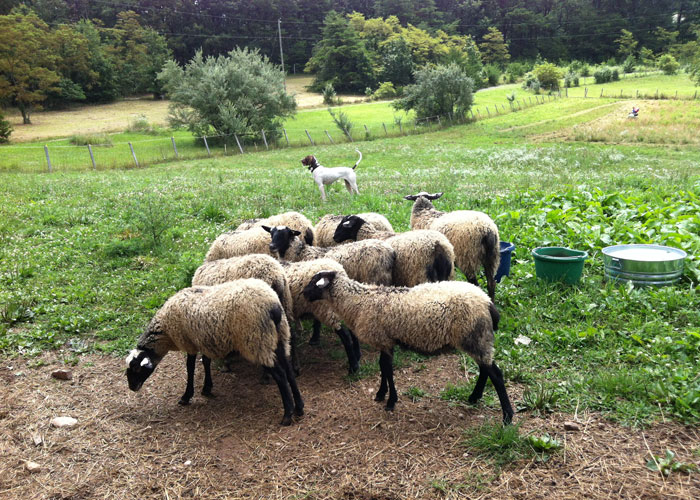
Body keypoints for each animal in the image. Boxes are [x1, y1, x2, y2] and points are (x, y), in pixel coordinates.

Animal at [125, 279, 304, 426]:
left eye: (136, 369)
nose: (132, 387)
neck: (165, 333)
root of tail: (273, 306)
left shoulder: (189, 343)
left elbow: (190, 368)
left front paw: (186, 396)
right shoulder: (205, 340)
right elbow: (206, 362)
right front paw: (207, 388)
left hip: (257, 341)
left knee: (280, 375)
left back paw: (287, 415)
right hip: (280, 336)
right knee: (288, 370)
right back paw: (300, 408)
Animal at [263, 225, 395, 286]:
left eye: (285, 235)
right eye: (271, 234)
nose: (271, 246)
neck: (299, 253)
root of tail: (389, 252)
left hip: (376, 278)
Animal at [302, 270, 514, 424]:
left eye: (314, 282)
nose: (303, 293)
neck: (359, 302)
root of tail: (487, 302)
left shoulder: (383, 340)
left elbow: (387, 369)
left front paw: (390, 401)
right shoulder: (386, 341)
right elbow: (383, 368)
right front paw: (381, 394)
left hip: (474, 336)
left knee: (496, 374)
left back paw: (507, 416)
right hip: (478, 339)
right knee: (485, 369)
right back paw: (474, 397)